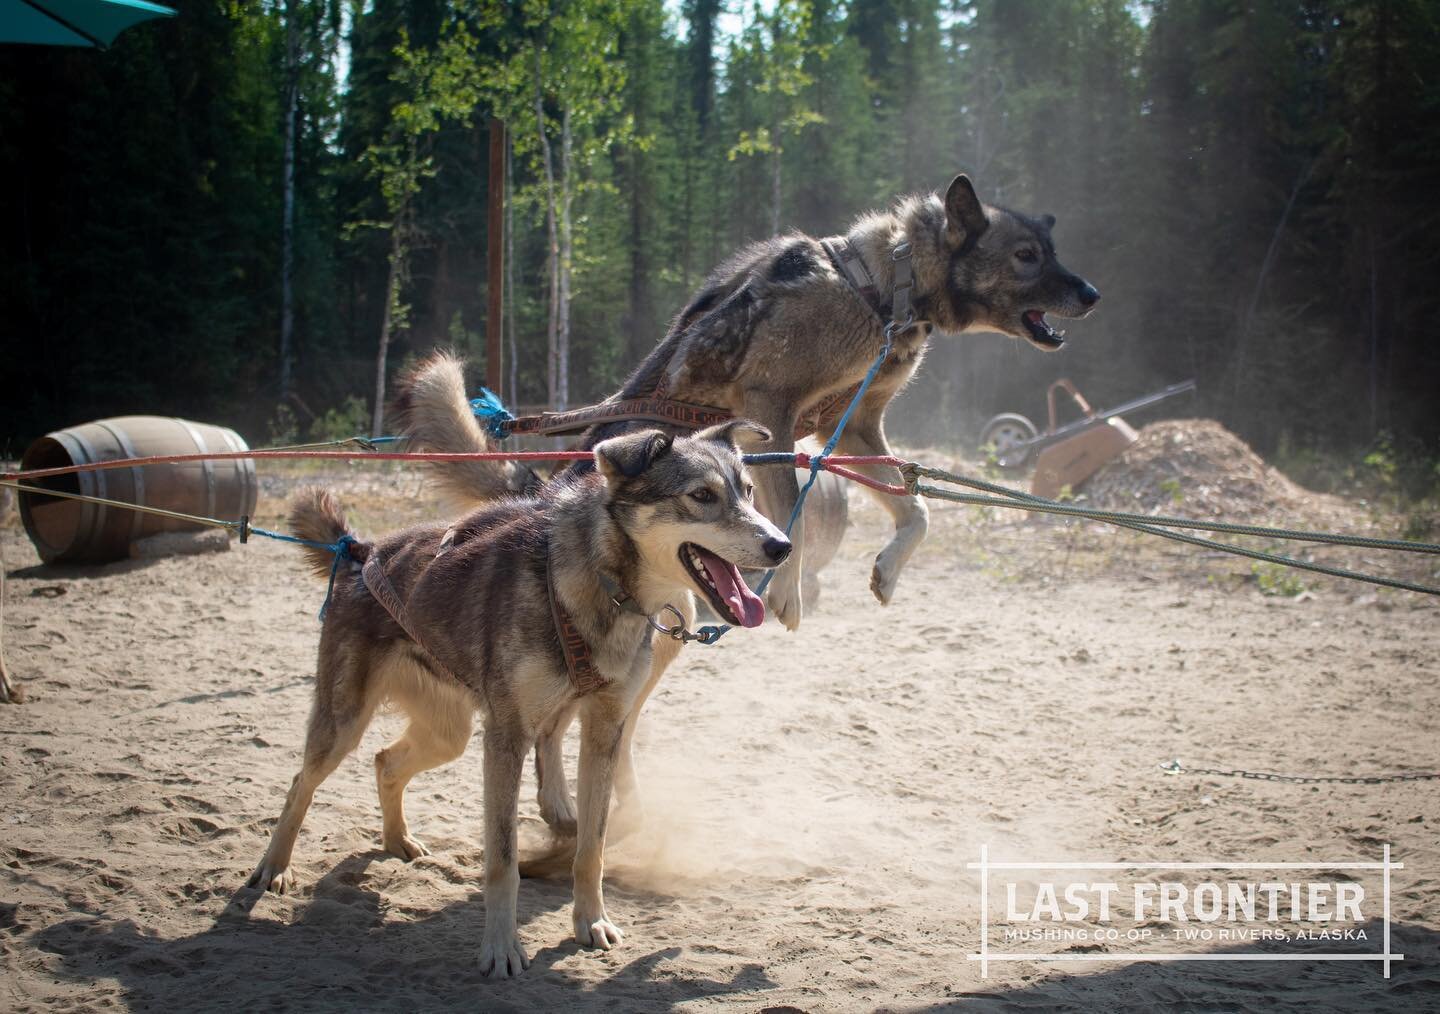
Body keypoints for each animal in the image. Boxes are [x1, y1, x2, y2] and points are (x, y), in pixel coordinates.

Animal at [246, 417, 789, 973]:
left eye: (748, 492)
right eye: (701, 495)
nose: (782, 546)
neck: (597, 586)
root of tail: (360, 551)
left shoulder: (603, 732)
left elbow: (591, 848)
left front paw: (591, 921)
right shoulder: (507, 737)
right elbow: (502, 861)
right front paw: (502, 947)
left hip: (448, 734)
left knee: (385, 762)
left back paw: (397, 839)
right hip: (344, 723)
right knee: (301, 782)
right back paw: (274, 868)